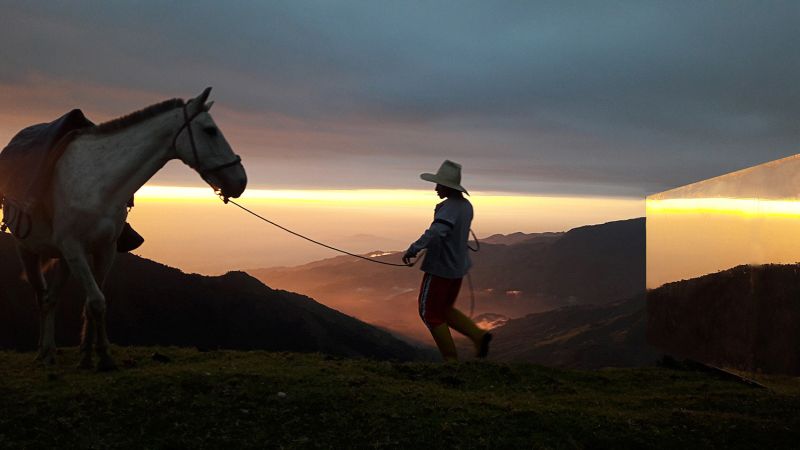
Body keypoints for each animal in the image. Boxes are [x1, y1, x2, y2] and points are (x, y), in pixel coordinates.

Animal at [7, 87, 245, 370]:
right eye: (210, 130)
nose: (241, 181)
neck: (98, 183)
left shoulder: (104, 249)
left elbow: (93, 303)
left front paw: (92, 355)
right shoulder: (74, 247)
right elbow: (97, 301)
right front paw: (102, 357)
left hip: (63, 259)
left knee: (51, 299)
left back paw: (51, 350)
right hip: (27, 250)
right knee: (41, 298)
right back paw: (43, 352)